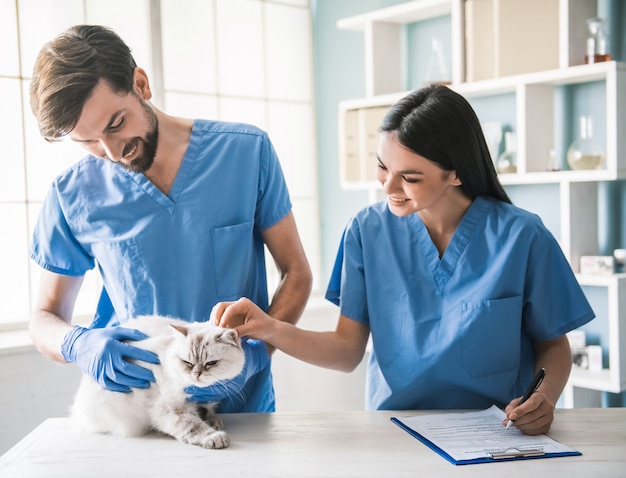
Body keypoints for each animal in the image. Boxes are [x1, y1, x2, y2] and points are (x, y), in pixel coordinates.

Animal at [69, 316, 244, 450]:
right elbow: (193, 425)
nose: (196, 374)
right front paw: (214, 436)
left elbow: (207, 410)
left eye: (211, 363)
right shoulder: (170, 408)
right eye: (187, 362)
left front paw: (213, 420)